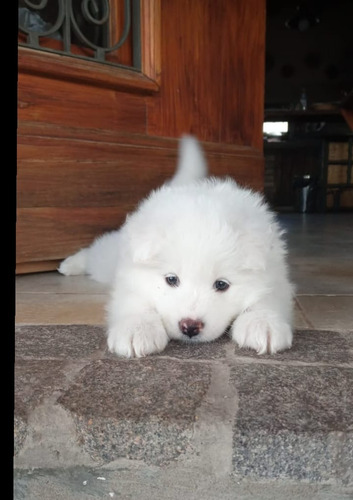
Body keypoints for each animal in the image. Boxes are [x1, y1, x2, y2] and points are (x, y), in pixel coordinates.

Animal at [59, 135, 292, 358]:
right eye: (171, 280)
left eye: (221, 284)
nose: (190, 327)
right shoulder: (130, 278)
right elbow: (136, 301)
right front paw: (138, 328)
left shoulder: (276, 278)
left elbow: (267, 298)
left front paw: (262, 323)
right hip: (108, 260)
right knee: (95, 252)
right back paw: (70, 264)